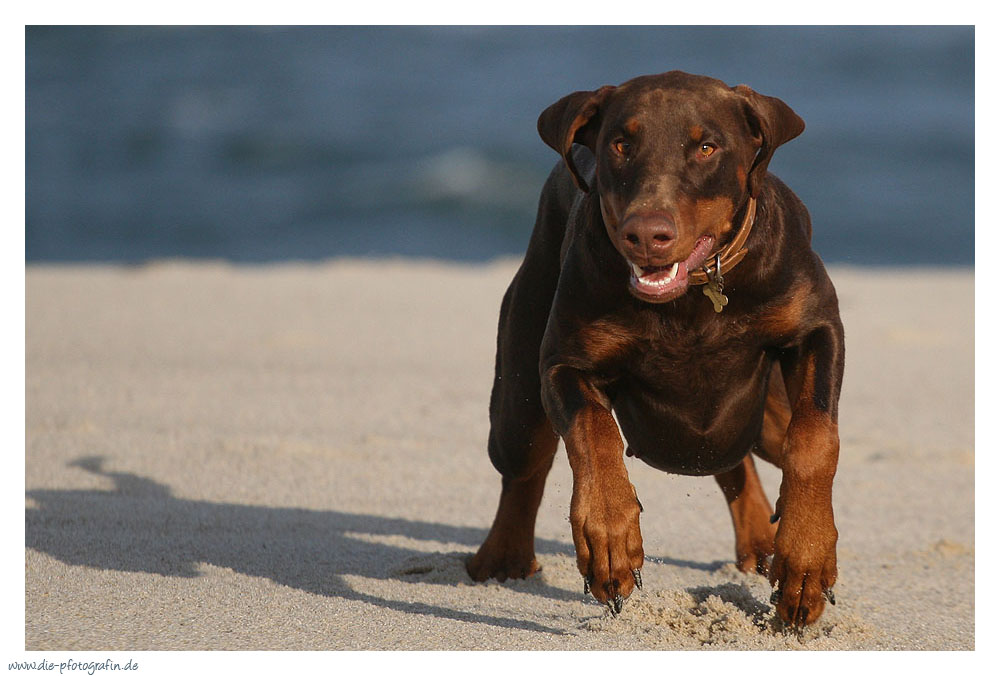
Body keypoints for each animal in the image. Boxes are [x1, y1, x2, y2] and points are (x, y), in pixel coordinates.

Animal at [464, 71, 840, 624]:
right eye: (621, 144)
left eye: (706, 147)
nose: (646, 234)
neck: (692, 300)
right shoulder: (564, 361)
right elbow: (591, 431)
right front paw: (610, 538)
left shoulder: (816, 329)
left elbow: (815, 439)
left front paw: (805, 560)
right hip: (518, 388)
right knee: (523, 465)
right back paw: (502, 556)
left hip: (766, 413)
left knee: (744, 457)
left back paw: (760, 543)